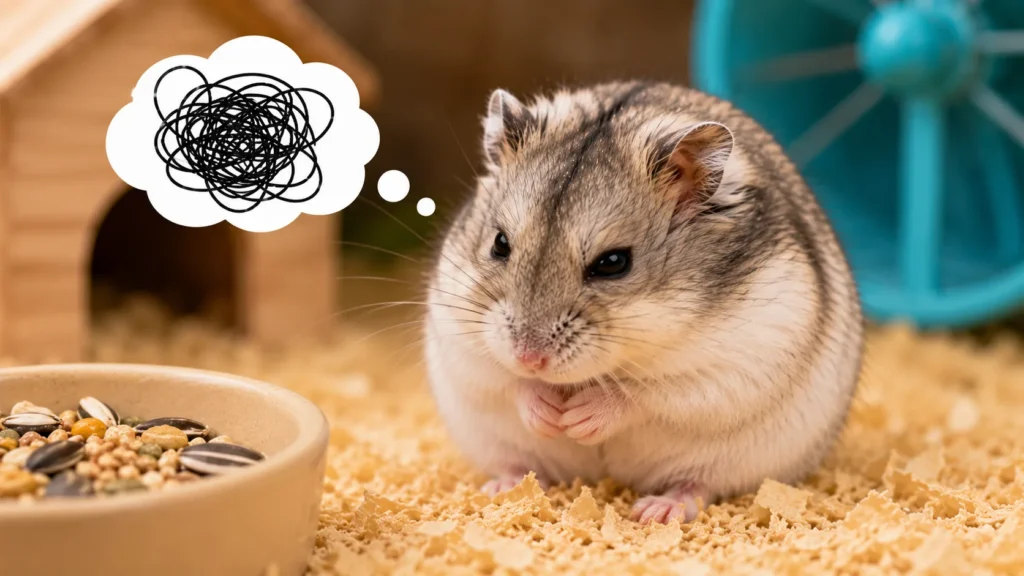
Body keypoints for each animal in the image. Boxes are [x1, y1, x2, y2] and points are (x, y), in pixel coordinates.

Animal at [423, 81, 864, 524]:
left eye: (613, 263)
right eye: (500, 244)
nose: (530, 358)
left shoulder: (739, 362)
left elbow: (645, 395)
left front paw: (578, 419)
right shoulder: (461, 342)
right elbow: (507, 381)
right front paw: (549, 413)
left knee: (697, 485)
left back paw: (656, 511)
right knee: (524, 466)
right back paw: (504, 489)